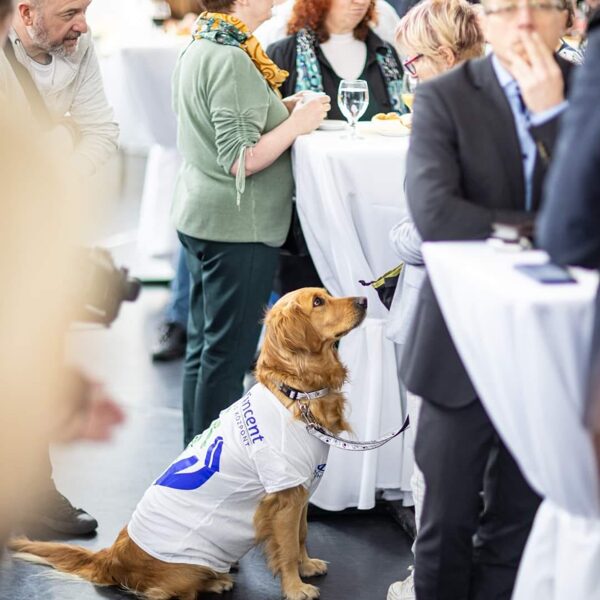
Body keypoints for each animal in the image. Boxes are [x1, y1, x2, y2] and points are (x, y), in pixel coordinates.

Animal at [9, 288, 368, 596]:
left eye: (327, 294)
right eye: (318, 302)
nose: (365, 300)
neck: (296, 391)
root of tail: (111, 556)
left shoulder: (301, 488)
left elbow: (303, 535)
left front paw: (307, 567)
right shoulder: (284, 495)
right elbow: (288, 546)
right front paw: (295, 588)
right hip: (187, 568)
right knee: (165, 592)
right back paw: (216, 581)